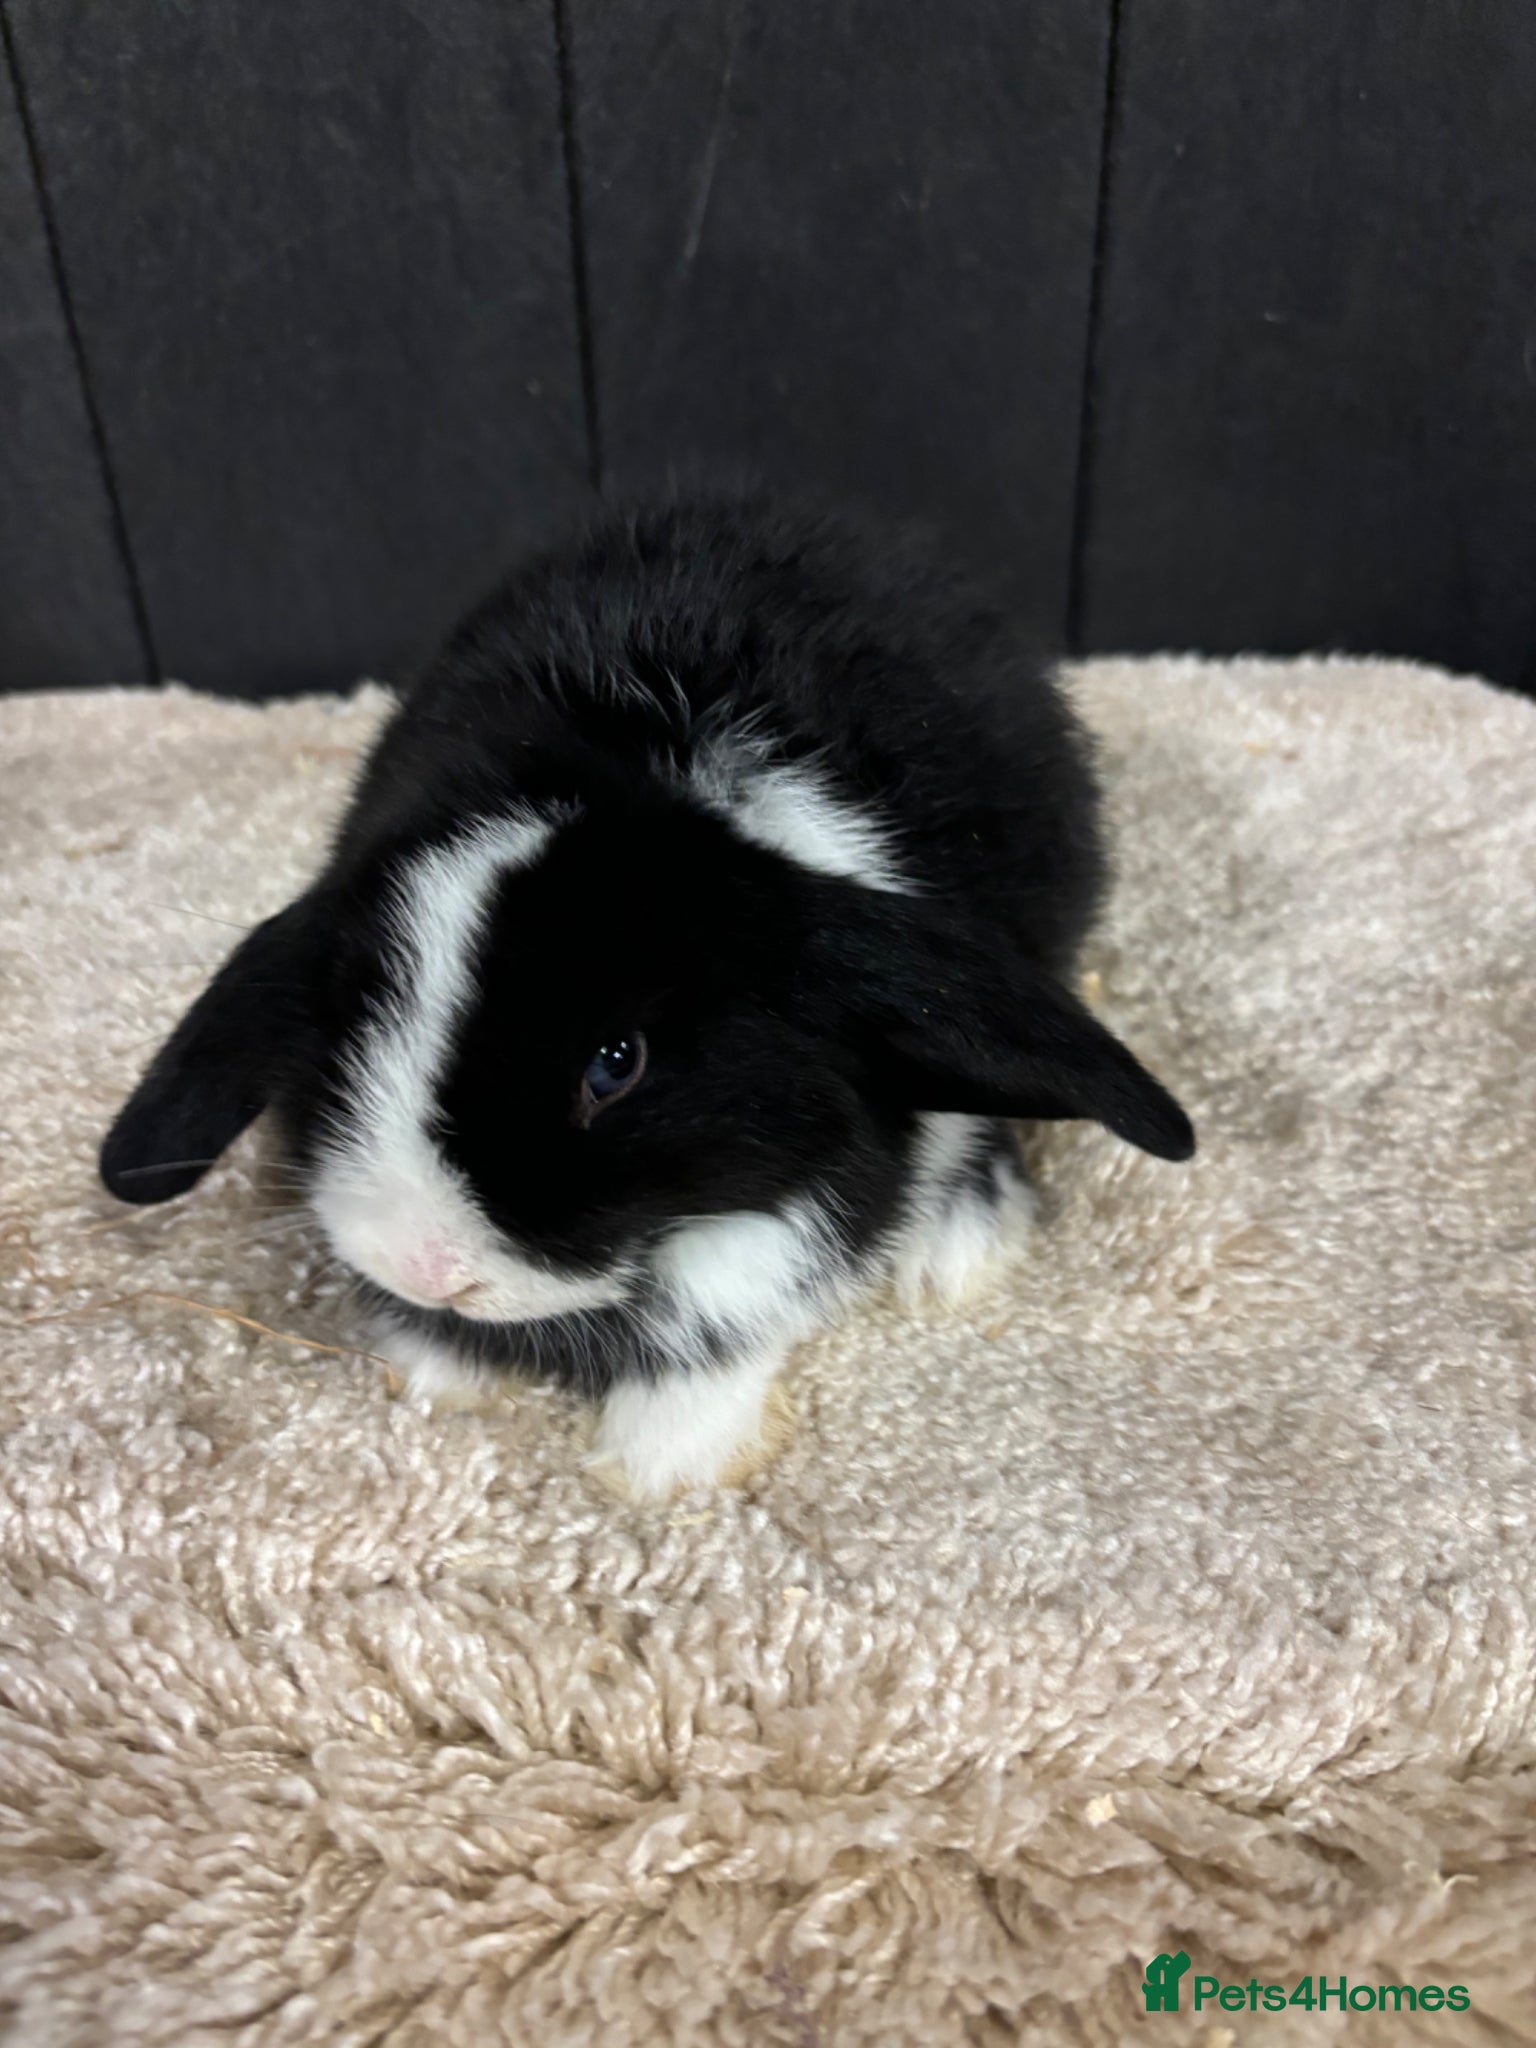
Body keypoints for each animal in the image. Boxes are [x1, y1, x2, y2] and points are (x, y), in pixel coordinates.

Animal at [100, 497, 1194, 1499]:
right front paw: (439, 1373)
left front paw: (662, 1462)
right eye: (345, 1025)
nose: (426, 1266)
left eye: (615, 1064)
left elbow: (738, 1313)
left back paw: (957, 1248)